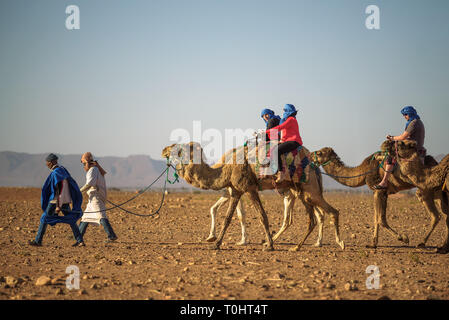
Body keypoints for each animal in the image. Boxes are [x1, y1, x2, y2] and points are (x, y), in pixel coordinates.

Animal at [161, 141, 344, 251]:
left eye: (178, 148)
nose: (163, 150)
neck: (226, 168)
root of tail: (313, 165)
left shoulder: (243, 189)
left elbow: (242, 217)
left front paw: (218, 243)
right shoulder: (243, 190)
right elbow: (245, 217)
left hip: (309, 189)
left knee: (332, 211)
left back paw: (339, 243)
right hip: (302, 191)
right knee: (315, 217)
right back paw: (299, 246)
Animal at [310, 146, 442, 249]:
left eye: (320, 153)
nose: (311, 155)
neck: (364, 171)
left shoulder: (380, 190)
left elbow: (381, 219)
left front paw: (403, 238)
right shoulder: (377, 192)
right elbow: (376, 218)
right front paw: (373, 244)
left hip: (425, 188)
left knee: (435, 215)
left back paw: (422, 242)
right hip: (435, 191)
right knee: (440, 213)